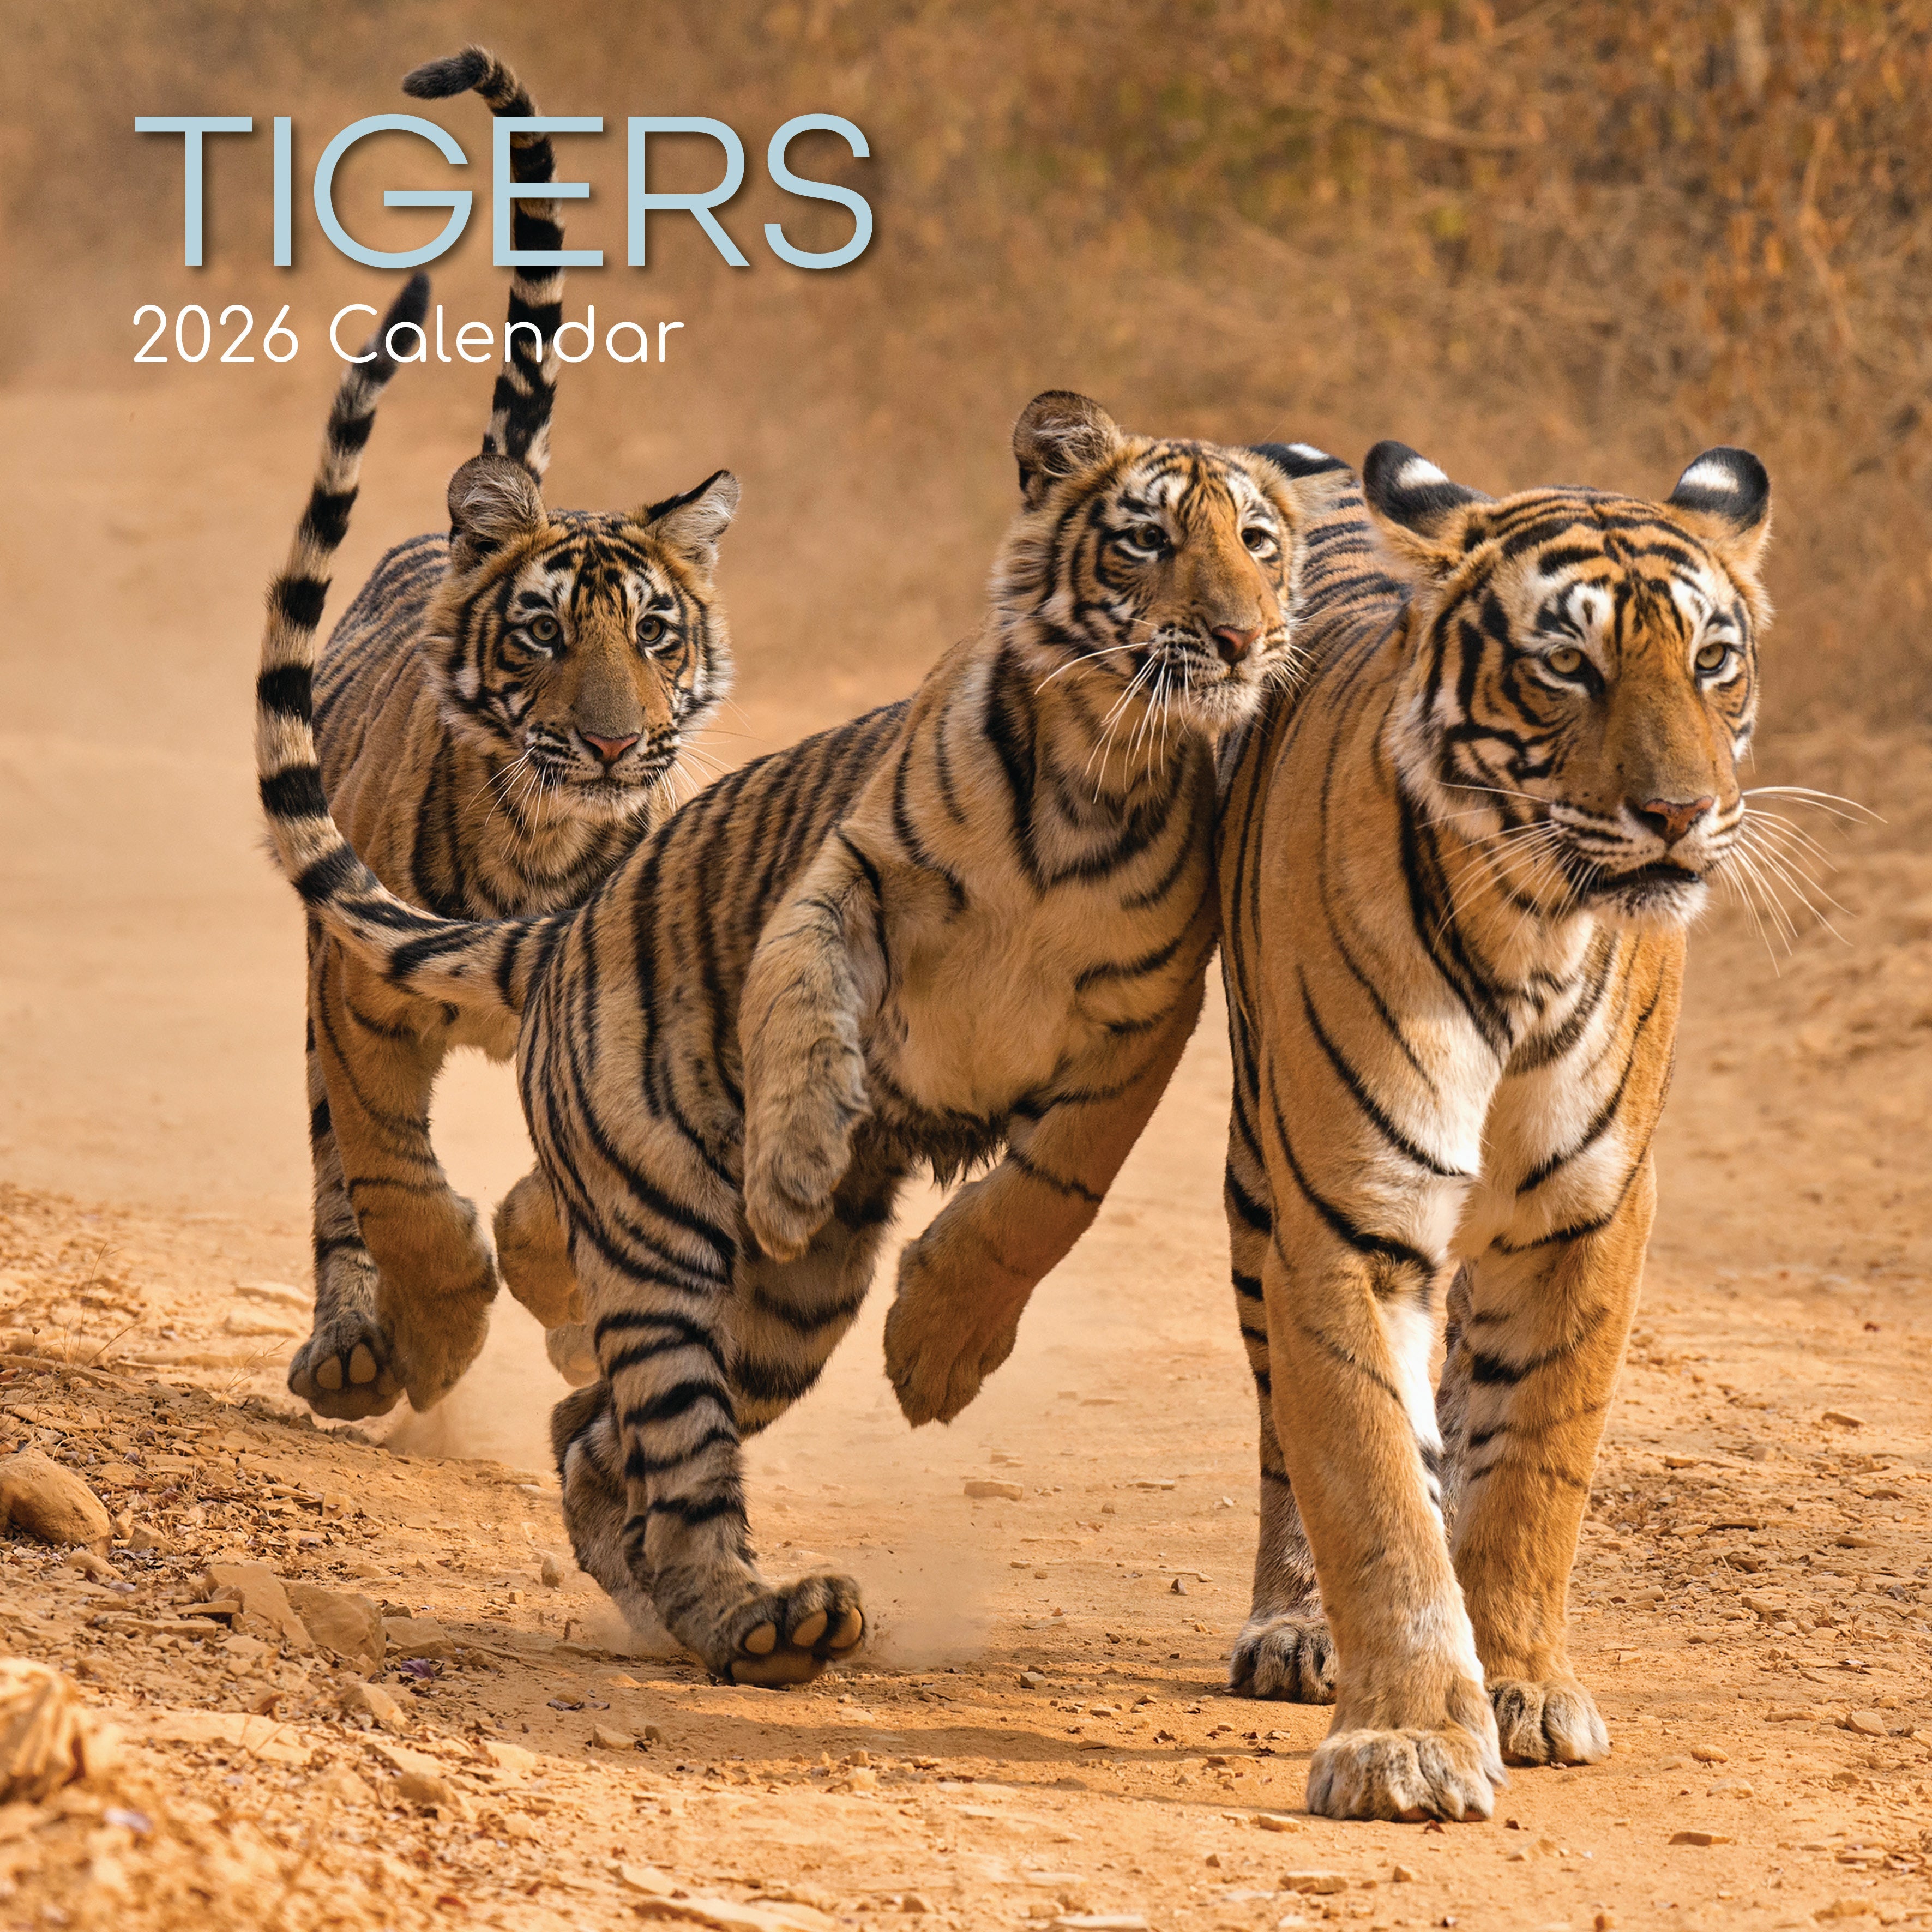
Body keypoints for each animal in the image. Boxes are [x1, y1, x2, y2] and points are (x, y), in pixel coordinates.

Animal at [256, 324, 1353, 1681]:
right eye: (1147, 539)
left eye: (1258, 542)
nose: (1241, 638)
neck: (1089, 771)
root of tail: (563, 932)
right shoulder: (846, 877)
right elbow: (803, 1000)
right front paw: (792, 1169)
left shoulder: (1145, 1018)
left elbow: (1053, 1187)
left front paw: (938, 1349)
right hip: (662, 1236)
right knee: (657, 1430)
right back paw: (759, 1613)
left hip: (787, 1314)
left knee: (597, 1434)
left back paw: (739, 1608)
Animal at [287, 45, 737, 1423]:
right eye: (543, 633)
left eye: (654, 633)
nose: (611, 748)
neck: (542, 837)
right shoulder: (360, 995)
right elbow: (396, 1184)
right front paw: (438, 1337)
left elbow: (565, 1200)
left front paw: (564, 1310)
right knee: (335, 1171)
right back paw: (355, 1349)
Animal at [1208, 437, 1773, 1821]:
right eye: (1566, 664)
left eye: (1710, 659)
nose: (1681, 813)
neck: (1534, 933)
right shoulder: (1344, 1217)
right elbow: (1369, 1483)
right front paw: (1405, 1741)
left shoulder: (1588, 1217)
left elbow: (1529, 1471)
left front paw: (1519, 1686)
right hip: (1258, 1177)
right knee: (1288, 1431)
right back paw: (1293, 1626)